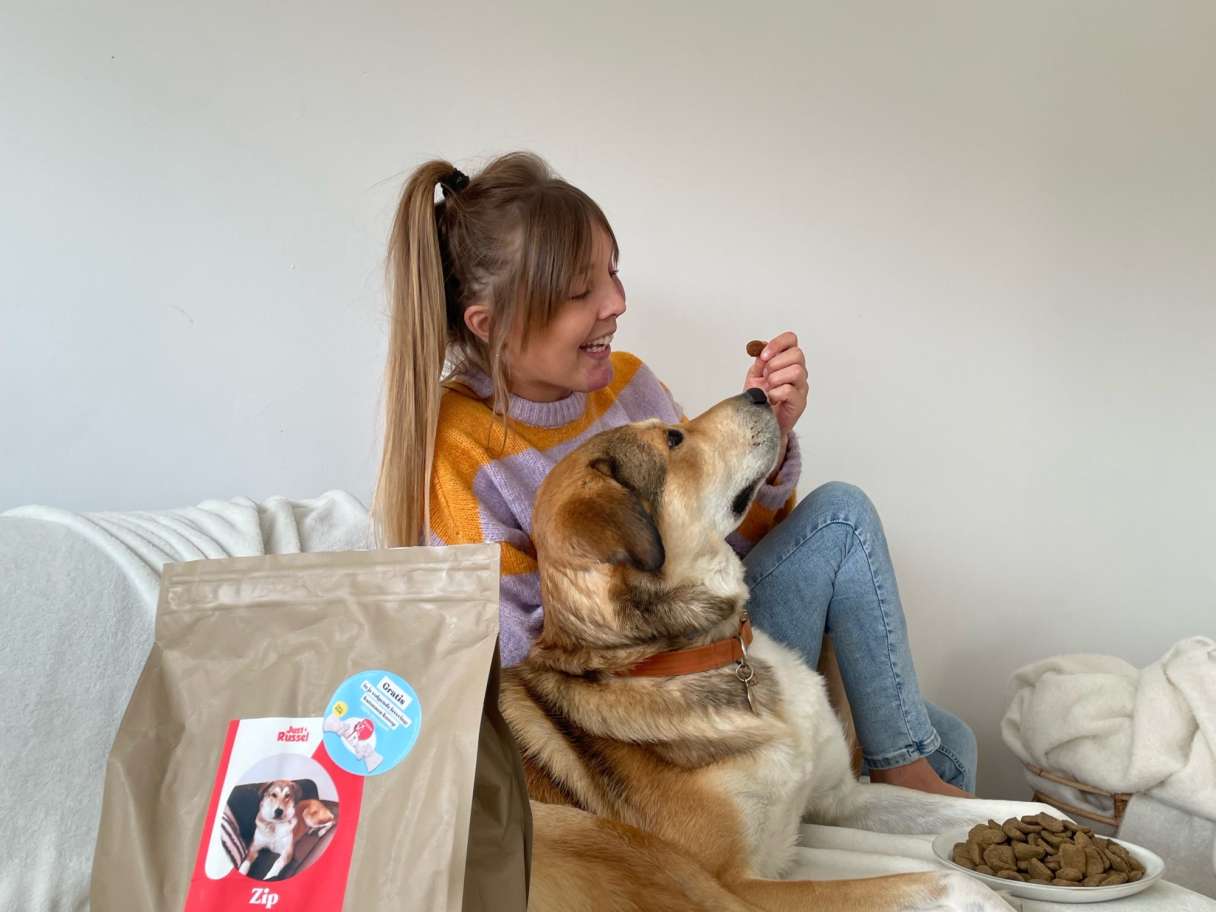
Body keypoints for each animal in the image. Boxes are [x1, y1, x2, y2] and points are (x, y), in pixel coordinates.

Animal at [503, 391, 1055, 912]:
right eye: (674, 440)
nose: (759, 393)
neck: (720, 654)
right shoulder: (747, 883)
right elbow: (941, 877)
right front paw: (998, 895)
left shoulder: (834, 802)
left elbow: (991, 812)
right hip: (639, 854)